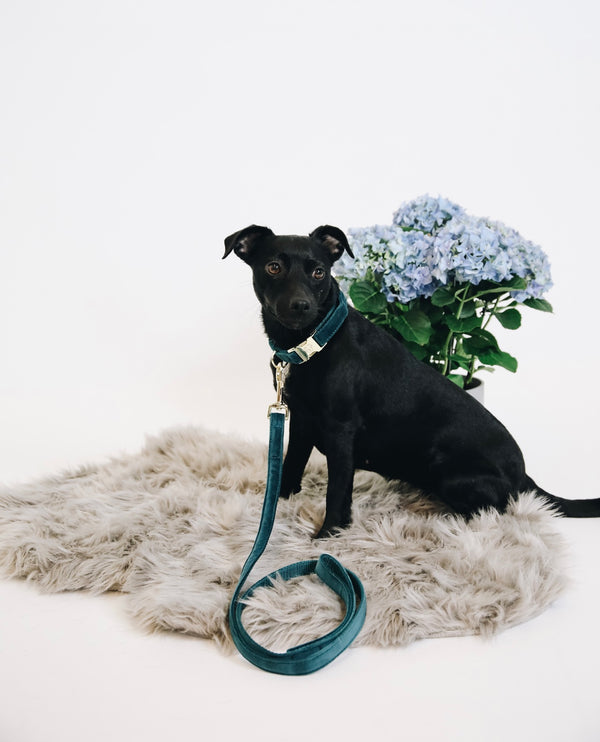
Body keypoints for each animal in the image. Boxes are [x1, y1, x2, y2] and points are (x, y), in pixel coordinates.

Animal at [223, 224, 596, 536]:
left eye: (319, 272)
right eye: (273, 267)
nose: (301, 306)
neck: (313, 343)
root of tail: (523, 474)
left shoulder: (341, 432)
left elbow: (336, 491)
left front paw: (329, 535)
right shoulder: (300, 420)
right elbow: (289, 467)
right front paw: (276, 507)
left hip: (449, 473)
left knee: (494, 510)